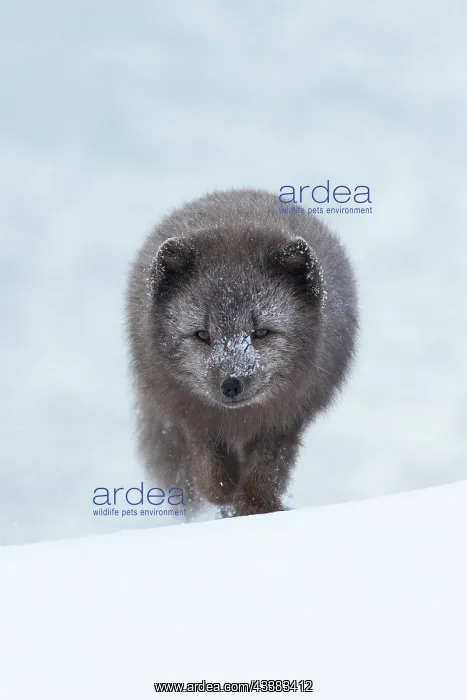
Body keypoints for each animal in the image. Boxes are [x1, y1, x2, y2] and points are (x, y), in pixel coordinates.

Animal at [125, 188, 359, 518]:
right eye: (202, 334)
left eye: (260, 332)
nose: (231, 385)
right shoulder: (192, 415)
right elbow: (212, 476)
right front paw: (225, 492)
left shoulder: (287, 417)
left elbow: (265, 473)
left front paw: (255, 506)